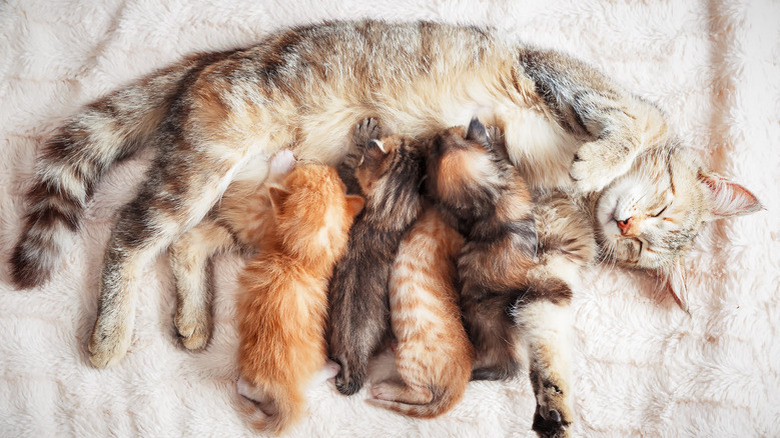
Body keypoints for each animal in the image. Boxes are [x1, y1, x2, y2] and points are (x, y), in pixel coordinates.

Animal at [235, 164, 366, 434]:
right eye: (336, 180)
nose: (326, 166)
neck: (299, 258)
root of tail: (286, 390)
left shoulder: (260, 224)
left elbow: (265, 190)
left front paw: (281, 160)